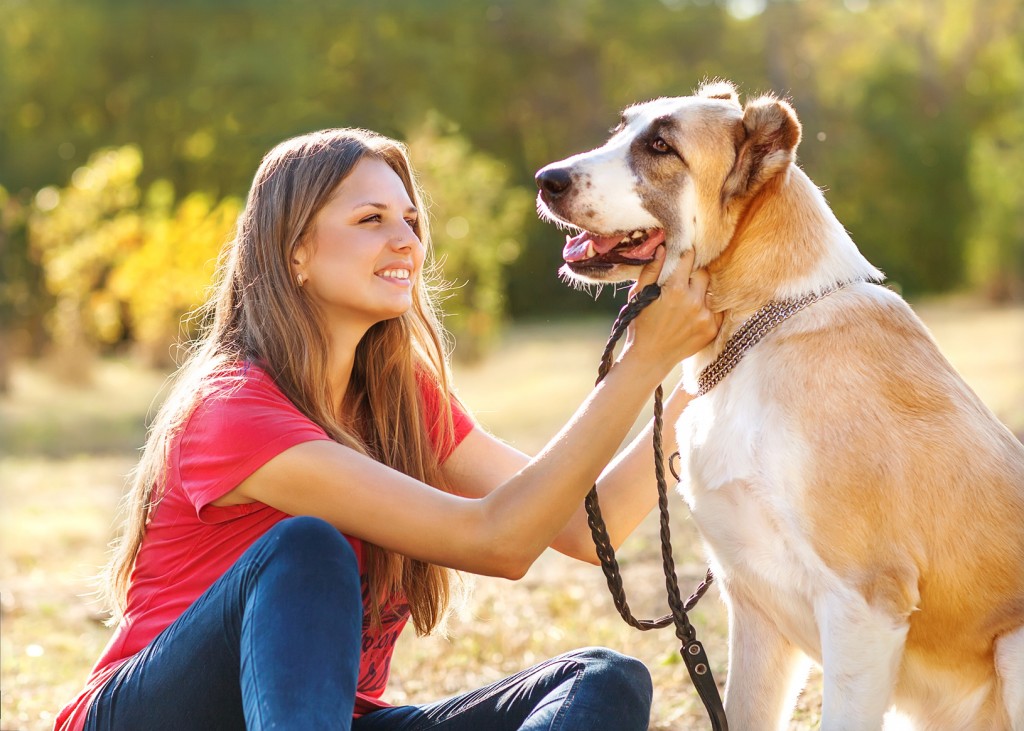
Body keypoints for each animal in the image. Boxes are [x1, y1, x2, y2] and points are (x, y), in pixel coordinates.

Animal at [536, 81, 1024, 728]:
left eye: (661, 146)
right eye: (623, 129)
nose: (545, 179)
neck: (763, 330)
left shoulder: (863, 608)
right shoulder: (753, 609)